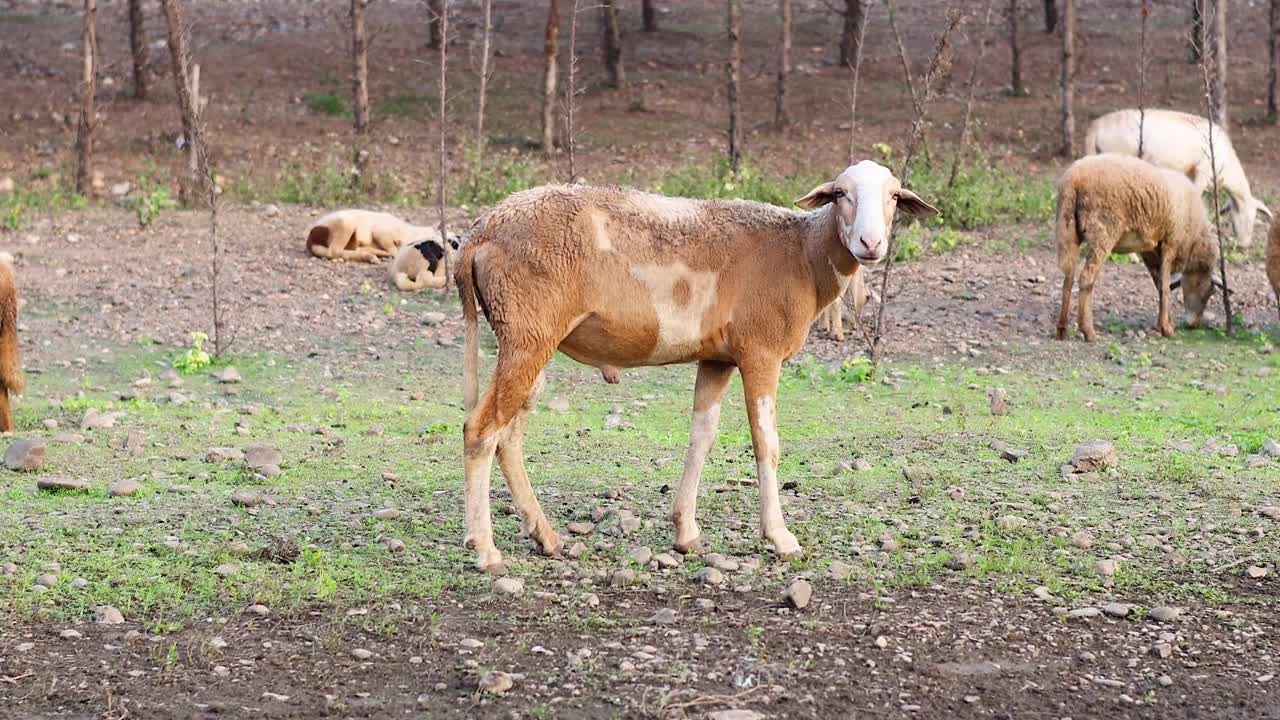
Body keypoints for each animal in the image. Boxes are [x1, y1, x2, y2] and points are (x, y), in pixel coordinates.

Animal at [303, 208, 440, 262]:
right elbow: (394, 249)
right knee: (334, 251)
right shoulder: (380, 232)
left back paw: (371, 256)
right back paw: (371, 256)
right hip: (347, 222)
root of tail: (310, 239)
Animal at [455, 159, 936, 568]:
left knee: (508, 437)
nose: (870, 243)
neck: (802, 254)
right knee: (481, 431)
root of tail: (480, 231)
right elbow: (767, 444)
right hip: (526, 333)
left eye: (894, 196)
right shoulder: (761, 352)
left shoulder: (717, 357)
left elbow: (701, 437)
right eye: (840, 194)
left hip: (529, 339)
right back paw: (487, 551)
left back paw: (547, 537)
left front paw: (686, 532)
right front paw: (780, 537)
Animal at [1054, 151, 1223, 340]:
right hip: (1103, 230)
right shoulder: (1171, 243)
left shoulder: (1151, 251)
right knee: (1086, 277)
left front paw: (1165, 322)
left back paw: (1062, 329)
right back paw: (1088, 332)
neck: (1195, 240)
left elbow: (1160, 286)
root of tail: (1075, 179)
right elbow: (1165, 287)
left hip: (1067, 228)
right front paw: (1167, 328)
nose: (1194, 325)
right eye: (1209, 292)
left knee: (1068, 278)